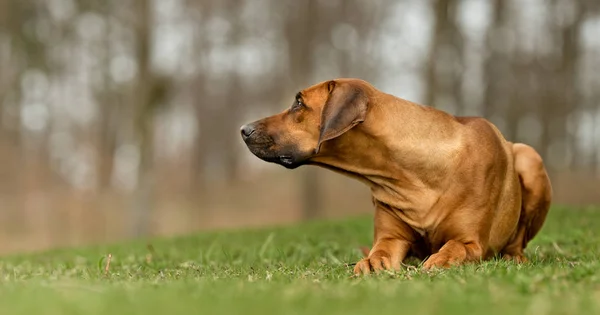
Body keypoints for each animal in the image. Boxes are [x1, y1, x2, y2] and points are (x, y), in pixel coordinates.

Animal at [239, 78, 552, 274]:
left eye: (298, 104)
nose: (244, 129)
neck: (412, 178)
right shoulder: (391, 237)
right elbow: (379, 251)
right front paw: (371, 263)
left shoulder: (471, 242)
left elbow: (456, 248)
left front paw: (440, 260)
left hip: (529, 158)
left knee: (518, 240)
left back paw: (514, 257)